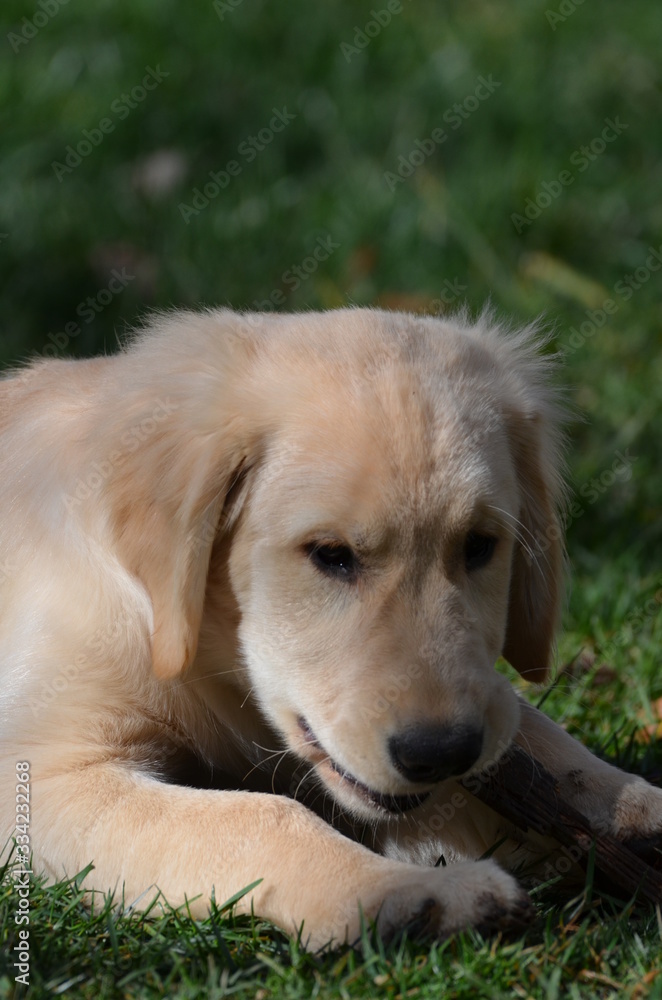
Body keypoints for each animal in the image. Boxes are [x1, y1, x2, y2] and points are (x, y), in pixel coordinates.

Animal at [1, 308, 662, 948]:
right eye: (330, 554)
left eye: (479, 546)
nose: (442, 752)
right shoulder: (43, 770)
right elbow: (258, 816)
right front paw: (407, 894)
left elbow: (532, 730)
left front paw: (634, 804)